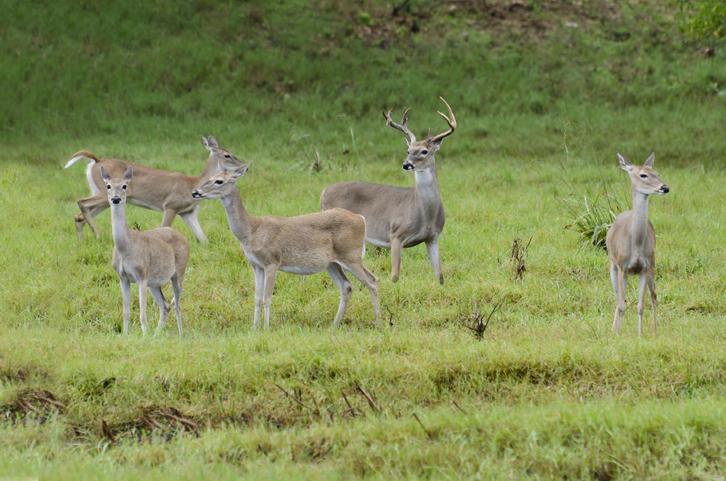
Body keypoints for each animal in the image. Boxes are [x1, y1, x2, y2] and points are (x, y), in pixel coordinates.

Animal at [64, 134, 245, 240]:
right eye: (227, 155)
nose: (243, 165)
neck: (192, 183)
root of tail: (96, 161)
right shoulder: (170, 206)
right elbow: (164, 228)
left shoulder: (189, 212)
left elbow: (204, 239)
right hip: (104, 192)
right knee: (81, 202)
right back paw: (97, 234)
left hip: (104, 197)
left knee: (79, 216)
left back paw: (84, 241)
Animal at [104, 165, 192, 334]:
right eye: (108, 186)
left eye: (125, 185)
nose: (116, 199)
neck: (126, 248)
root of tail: (185, 238)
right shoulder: (123, 278)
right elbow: (126, 311)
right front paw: (125, 335)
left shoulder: (141, 275)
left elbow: (142, 314)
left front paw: (144, 336)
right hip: (155, 282)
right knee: (165, 305)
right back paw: (157, 334)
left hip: (178, 272)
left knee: (177, 305)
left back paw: (181, 334)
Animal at [193, 161, 386, 330]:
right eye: (210, 177)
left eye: (219, 180)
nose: (196, 192)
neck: (251, 231)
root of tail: (361, 219)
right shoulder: (256, 265)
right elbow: (257, 297)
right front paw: (254, 328)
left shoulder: (272, 261)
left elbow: (267, 297)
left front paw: (266, 328)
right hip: (332, 263)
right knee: (347, 286)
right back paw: (335, 324)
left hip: (351, 255)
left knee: (372, 281)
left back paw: (378, 323)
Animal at [318, 98, 456, 284]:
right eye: (408, 151)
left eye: (424, 151)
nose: (406, 164)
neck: (424, 214)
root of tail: (324, 191)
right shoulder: (396, 233)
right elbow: (395, 276)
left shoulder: (433, 237)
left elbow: (439, 275)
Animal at [608, 152, 672, 336]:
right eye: (643, 175)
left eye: (657, 172)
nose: (664, 188)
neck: (635, 245)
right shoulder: (622, 267)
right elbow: (622, 305)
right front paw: (617, 334)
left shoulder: (645, 267)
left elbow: (640, 306)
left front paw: (640, 335)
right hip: (612, 266)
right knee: (618, 299)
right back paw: (613, 329)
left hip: (653, 265)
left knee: (654, 294)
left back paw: (656, 330)